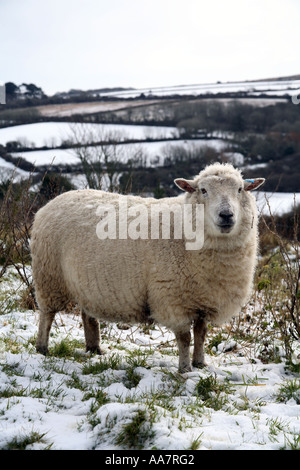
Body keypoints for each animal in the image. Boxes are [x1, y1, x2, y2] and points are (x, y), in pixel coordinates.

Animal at [31, 163, 264, 372]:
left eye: (240, 189)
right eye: (203, 190)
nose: (226, 215)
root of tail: (49, 204)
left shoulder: (203, 300)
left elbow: (201, 334)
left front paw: (200, 363)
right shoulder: (173, 298)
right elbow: (185, 338)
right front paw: (185, 369)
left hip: (86, 283)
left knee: (88, 316)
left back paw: (94, 348)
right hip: (49, 276)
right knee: (47, 314)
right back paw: (42, 348)